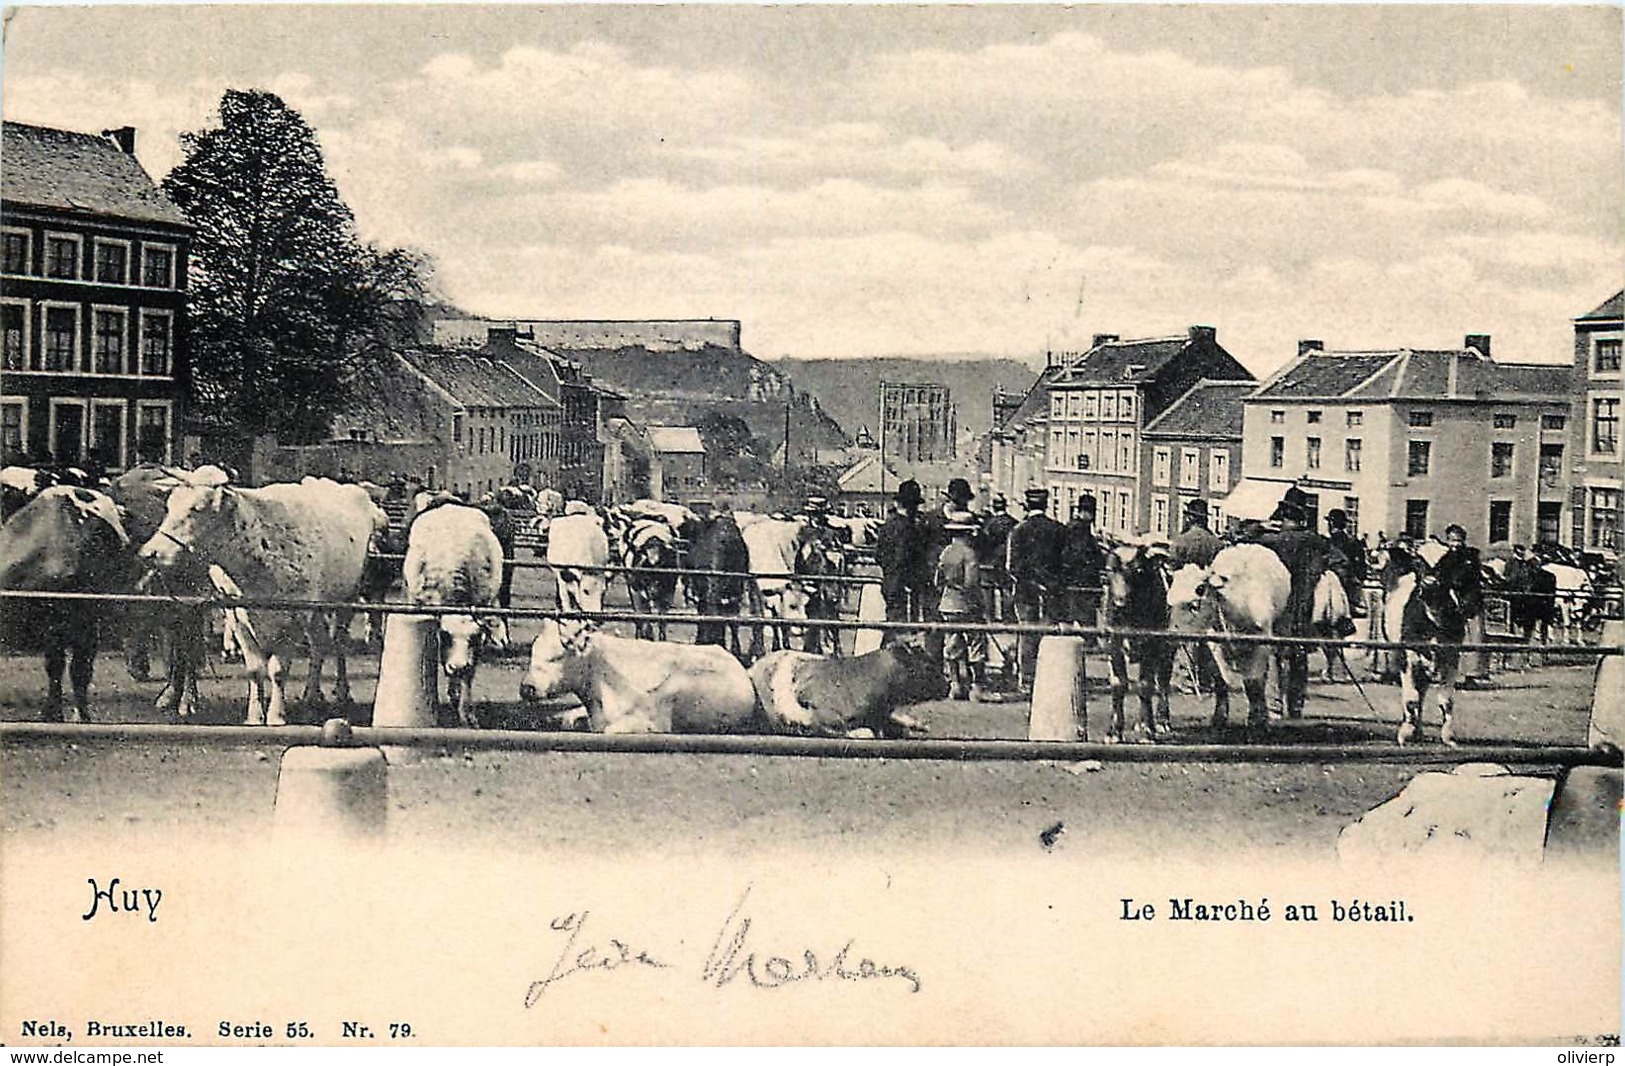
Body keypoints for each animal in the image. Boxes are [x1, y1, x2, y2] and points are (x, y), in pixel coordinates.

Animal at [138, 477, 381, 728]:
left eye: (196, 509)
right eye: (168, 507)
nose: (149, 552)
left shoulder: (294, 618)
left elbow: (278, 670)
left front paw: (276, 716)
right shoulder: (237, 615)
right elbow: (255, 669)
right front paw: (255, 716)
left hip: (346, 600)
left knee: (338, 642)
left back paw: (341, 691)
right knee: (319, 644)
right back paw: (311, 695)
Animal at [1170, 546, 1293, 728]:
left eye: (1195, 600)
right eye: (1170, 604)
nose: (1171, 634)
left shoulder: (1261, 644)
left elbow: (1253, 683)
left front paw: (1256, 718)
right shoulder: (1216, 645)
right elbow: (1221, 680)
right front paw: (1219, 716)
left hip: (1281, 625)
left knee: (1274, 668)